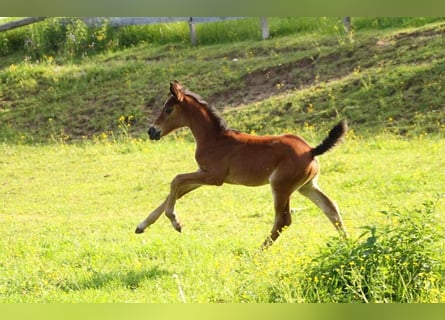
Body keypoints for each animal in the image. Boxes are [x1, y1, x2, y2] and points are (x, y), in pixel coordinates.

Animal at [135, 80, 346, 248]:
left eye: (168, 110)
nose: (152, 131)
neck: (215, 138)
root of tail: (311, 150)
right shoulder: (203, 173)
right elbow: (177, 191)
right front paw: (141, 225)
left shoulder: (214, 177)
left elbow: (176, 180)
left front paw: (175, 221)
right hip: (306, 186)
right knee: (330, 207)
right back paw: (346, 241)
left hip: (281, 187)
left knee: (284, 220)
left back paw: (257, 253)